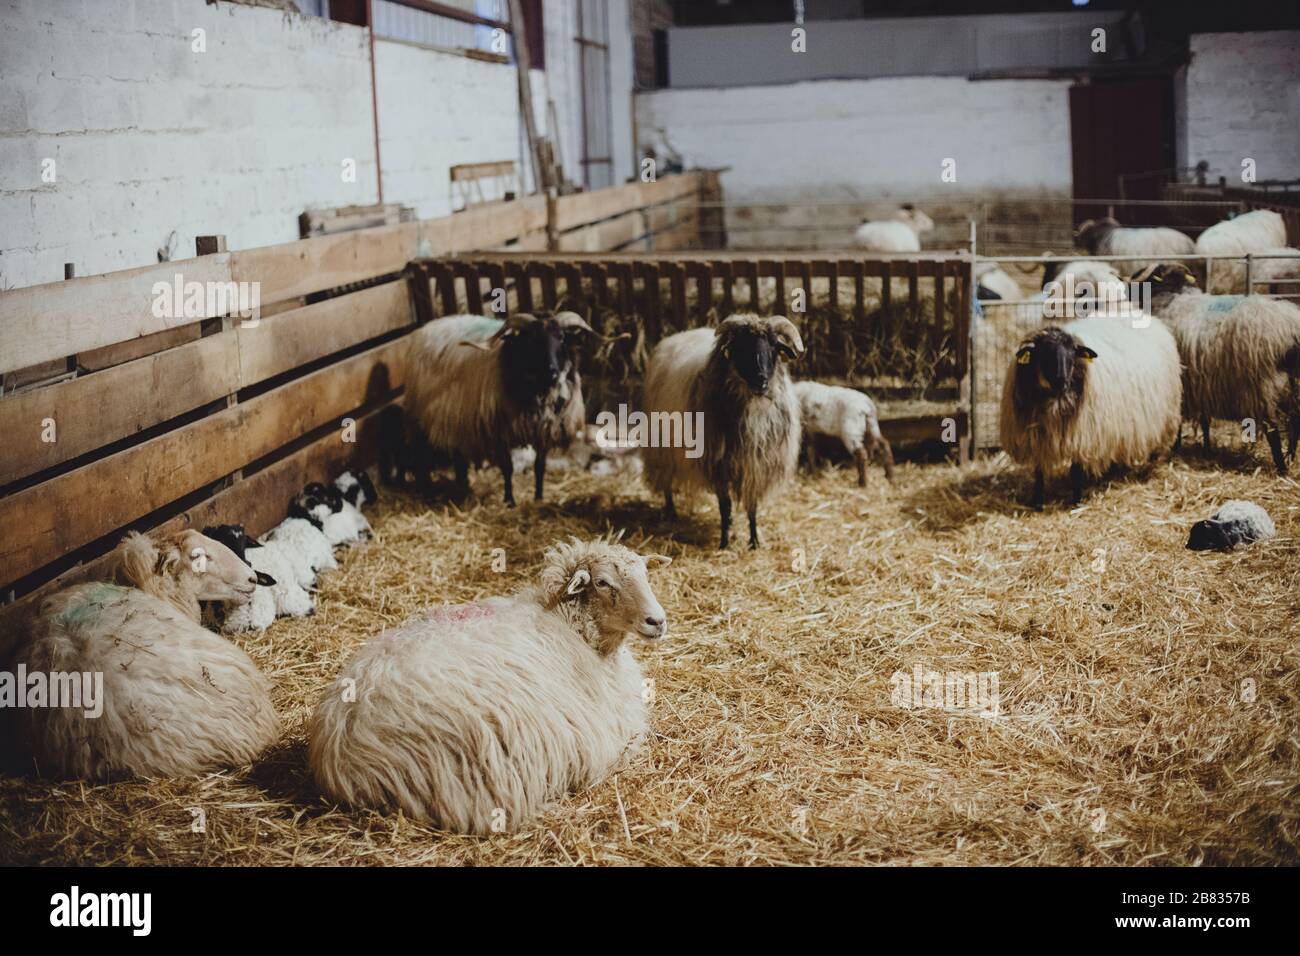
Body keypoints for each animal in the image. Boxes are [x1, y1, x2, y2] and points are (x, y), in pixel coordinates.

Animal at [403, 314, 600, 509]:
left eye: (561, 338)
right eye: (531, 340)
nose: (551, 372)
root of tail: (425, 328)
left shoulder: (543, 430)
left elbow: (539, 466)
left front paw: (538, 498)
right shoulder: (498, 432)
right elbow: (507, 468)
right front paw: (510, 501)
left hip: (453, 418)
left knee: (458, 456)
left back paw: (462, 485)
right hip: (420, 417)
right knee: (419, 454)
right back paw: (426, 488)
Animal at [644, 314, 806, 548]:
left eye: (774, 346)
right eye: (740, 347)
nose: (761, 380)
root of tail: (678, 336)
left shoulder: (755, 465)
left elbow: (752, 505)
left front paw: (754, 541)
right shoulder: (718, 464)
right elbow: (725, 506)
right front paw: (724, 542)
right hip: (661, 448)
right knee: (666, 481)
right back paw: (671, 512)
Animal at [998, 310, 1185, 512]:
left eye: (1073, 353)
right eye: (1042, 352)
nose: (1061, 381)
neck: (1053, 401)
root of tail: (1150, 318)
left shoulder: (1082, 435)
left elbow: (1075, 471)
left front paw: (1076, 501)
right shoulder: (1036, 436)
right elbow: (1039, 472)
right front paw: (1038, 503)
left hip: (1164, 415)